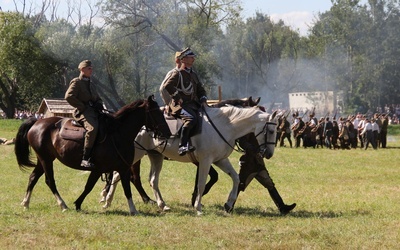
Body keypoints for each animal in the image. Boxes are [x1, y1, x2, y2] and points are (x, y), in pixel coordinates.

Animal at [14, 95, 170, 215]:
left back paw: (25, 203)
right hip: (46, 160)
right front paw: (78, 204)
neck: (117, 135)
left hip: (43, 159)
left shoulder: (123, 168)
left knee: (33, 178)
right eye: (156, 113)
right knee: (49, 181)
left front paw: (133, 210)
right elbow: (88, 187)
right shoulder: (98, 169)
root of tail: (37, 122)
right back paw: (62, 205)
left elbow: (127, 189)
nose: (167, 133)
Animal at [103, 105, 278, 215]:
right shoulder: (206, 161)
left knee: (152, 180)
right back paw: (108, 200)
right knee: (119, 174)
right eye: (270, 130)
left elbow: (235, 178)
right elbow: (201, 184)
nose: (269, 154)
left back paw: (161, 205)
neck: (225, 126)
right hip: (137, 154)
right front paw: (198, 207)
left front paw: (229, 204)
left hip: (155, 156)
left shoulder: (221, 160)